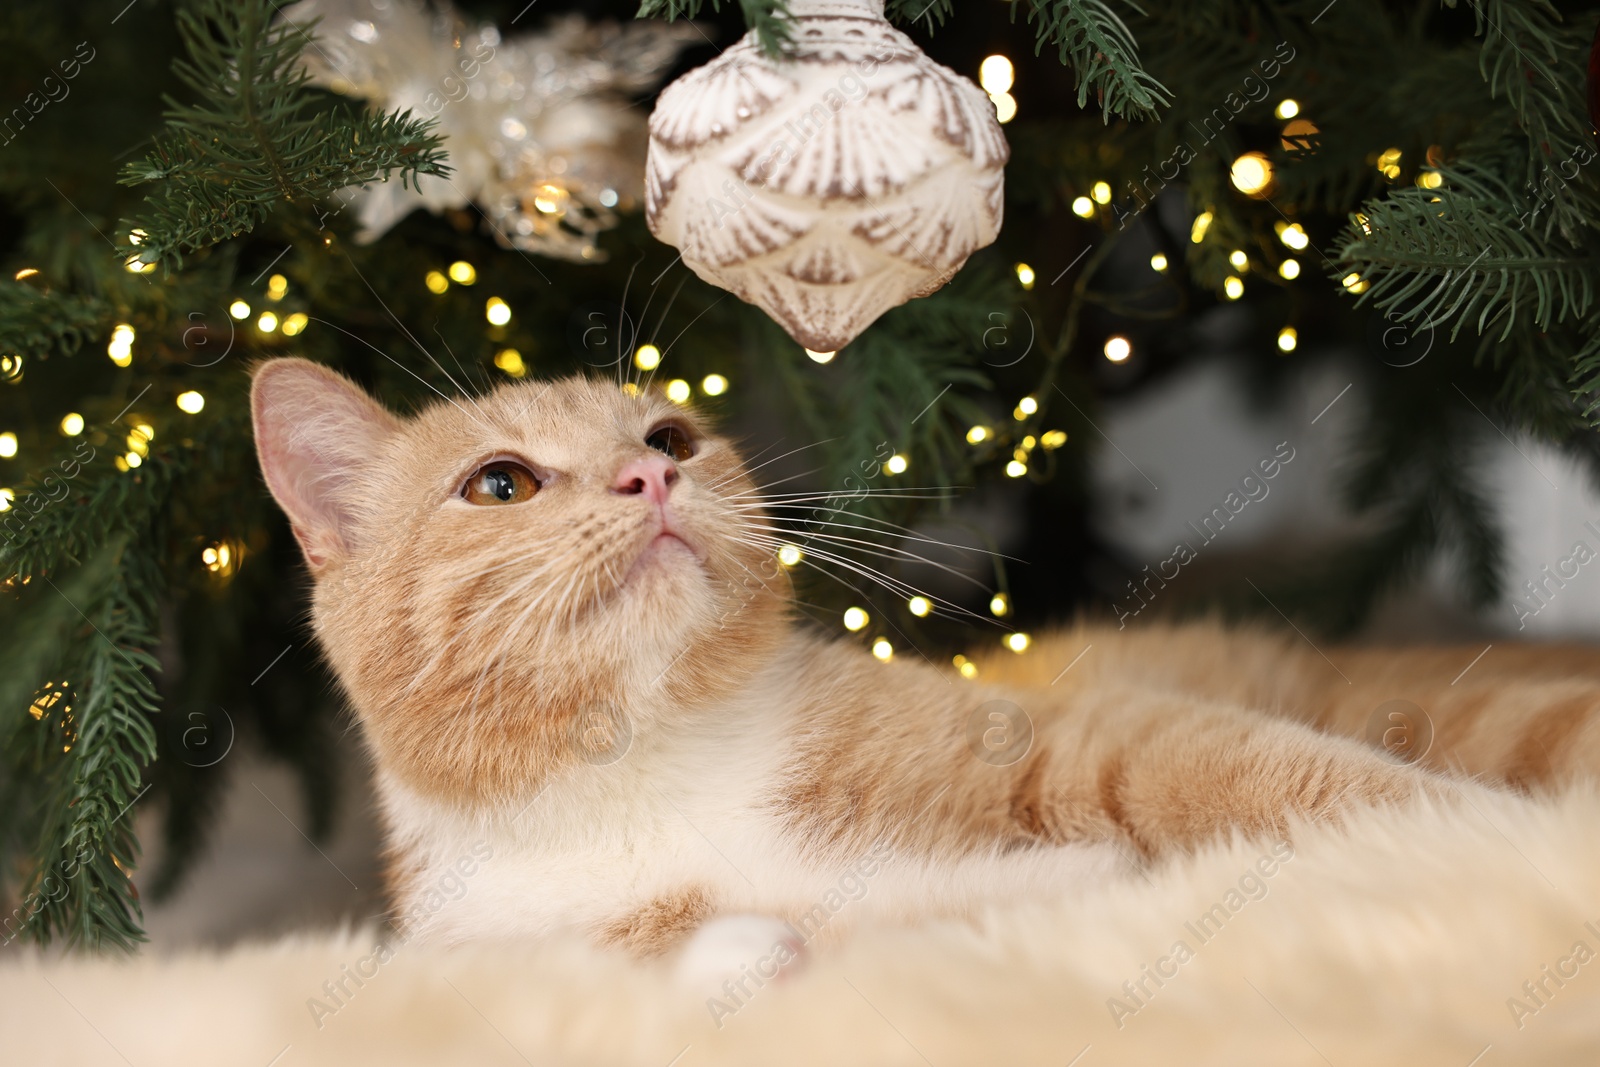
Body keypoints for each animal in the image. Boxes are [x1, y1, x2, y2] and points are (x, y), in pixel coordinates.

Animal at [246, 358, 1600, 966]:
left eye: (670, 434)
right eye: (501, 483)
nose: (651, 477)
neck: (647, 775)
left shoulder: (1094, 738)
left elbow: (1309, 788)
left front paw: (1485, 847)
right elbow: (718, 948)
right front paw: (748, 948)